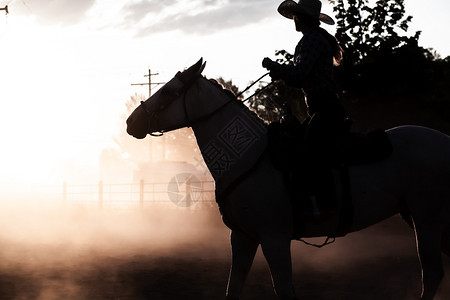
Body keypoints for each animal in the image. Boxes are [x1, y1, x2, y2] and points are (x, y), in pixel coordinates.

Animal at [125, 58, 450, 298]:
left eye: (169, 91)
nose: (131, 122)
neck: (250, 156)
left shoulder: (274, 238)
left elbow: (283, 290)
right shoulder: (242, 236)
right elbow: (233, 289)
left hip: (427, 216)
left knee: (432, 272)